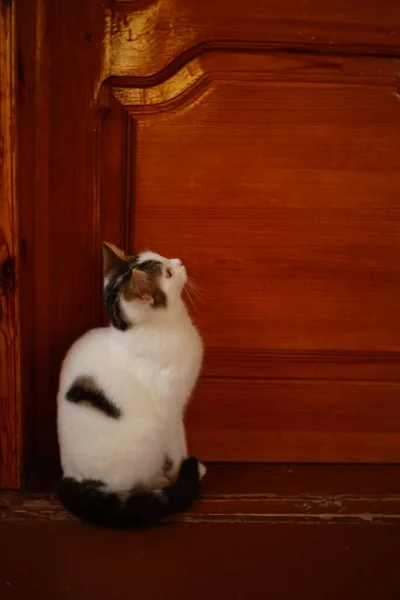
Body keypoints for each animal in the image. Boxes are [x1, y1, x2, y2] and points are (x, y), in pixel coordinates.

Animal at [57, 241, 206, 528]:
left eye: (164, 258)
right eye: (168, 273)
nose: (179, 261)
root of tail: (70, 476)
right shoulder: (171, 412)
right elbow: (178, 445)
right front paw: (183, 470)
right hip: (147, 439)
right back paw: (160, 483)